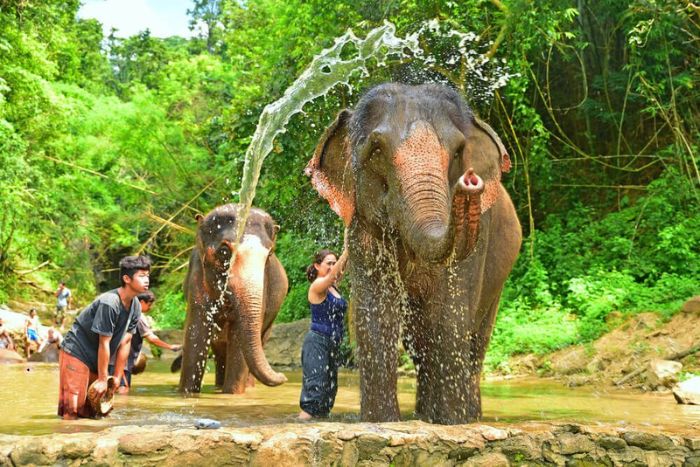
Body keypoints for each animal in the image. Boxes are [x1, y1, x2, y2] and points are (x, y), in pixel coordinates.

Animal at [182, 205, 292, 394]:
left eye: (270, 254)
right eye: (224, 251)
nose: (283, 376)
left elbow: (239, 339)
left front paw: (232, 394)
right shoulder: (196, 280)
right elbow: (195, 334)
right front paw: (186, 393)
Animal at [304, 83, 520, 424]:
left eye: (458, 152)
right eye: (377, 150)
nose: (470, 181)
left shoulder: (480, 236)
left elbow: (450, 311)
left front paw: (451, 423)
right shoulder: (363, 229)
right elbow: (376, 314)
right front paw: (381, 423)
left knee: (475, 337)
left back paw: (466, 417)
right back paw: (425, 414)